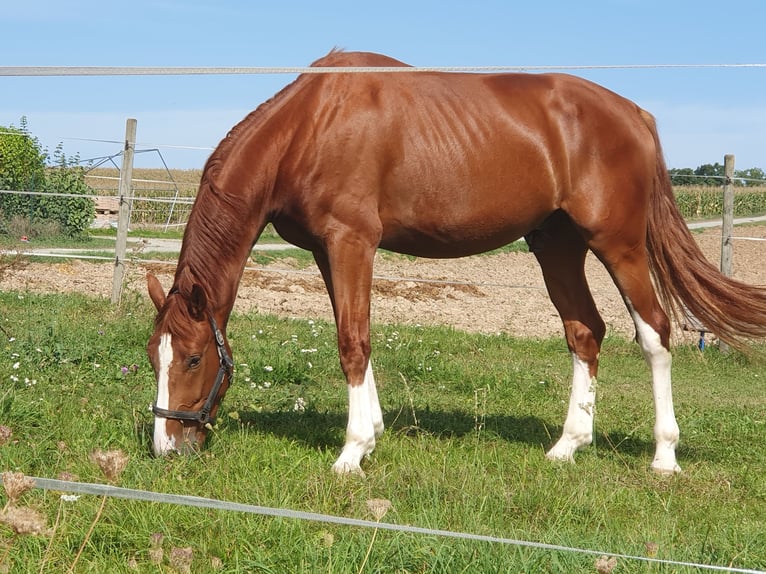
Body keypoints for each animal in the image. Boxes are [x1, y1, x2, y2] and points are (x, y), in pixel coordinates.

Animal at [147, 50, 766, 476]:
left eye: (195, 359)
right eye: (154, 355)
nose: (167, 447)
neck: (311, 126)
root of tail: (636, 114)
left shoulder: (351, 242)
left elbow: (352, 341)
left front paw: (351, 452)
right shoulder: (328, 251)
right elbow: (358, 333)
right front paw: (372, 432)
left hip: (620, 244)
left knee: (655, 333)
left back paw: (664, 456)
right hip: (557, 246)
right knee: (586, 332)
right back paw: (567, 446)